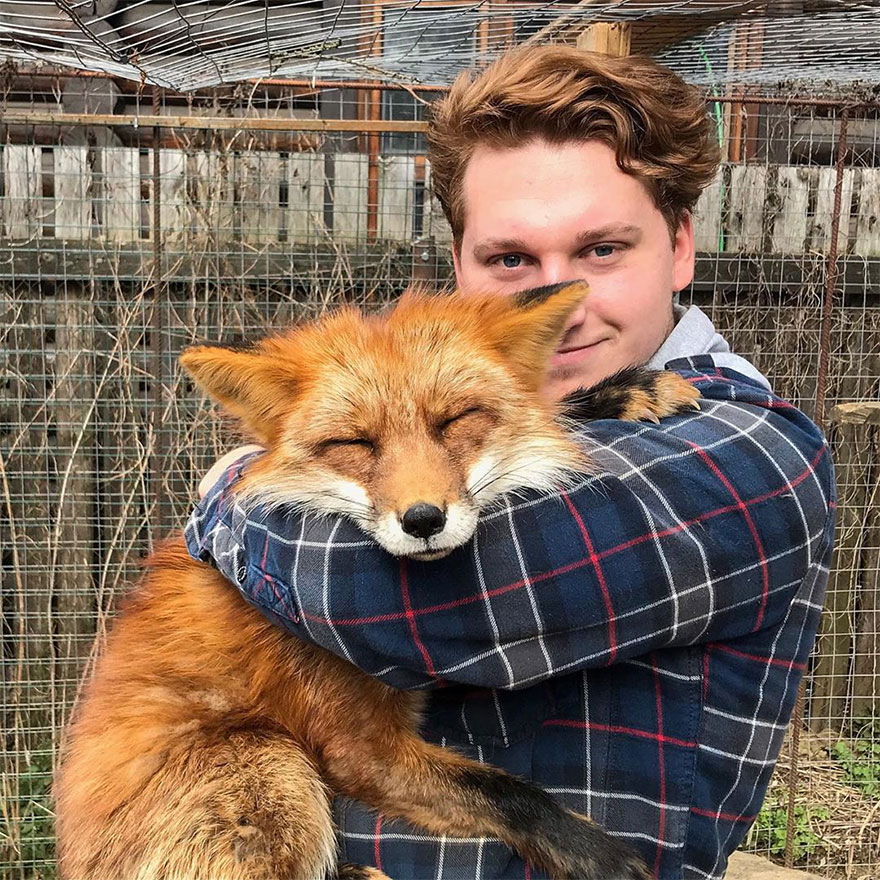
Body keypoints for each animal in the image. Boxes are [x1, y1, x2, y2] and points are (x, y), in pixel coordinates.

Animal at [55, 282, 700, 880]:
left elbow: (548, 411)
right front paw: (600, 856)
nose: (423, 520)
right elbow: (505, 791)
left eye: (455, 421)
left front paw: (622, 392)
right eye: (355, 443)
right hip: (271, 757)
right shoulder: (358, 750)